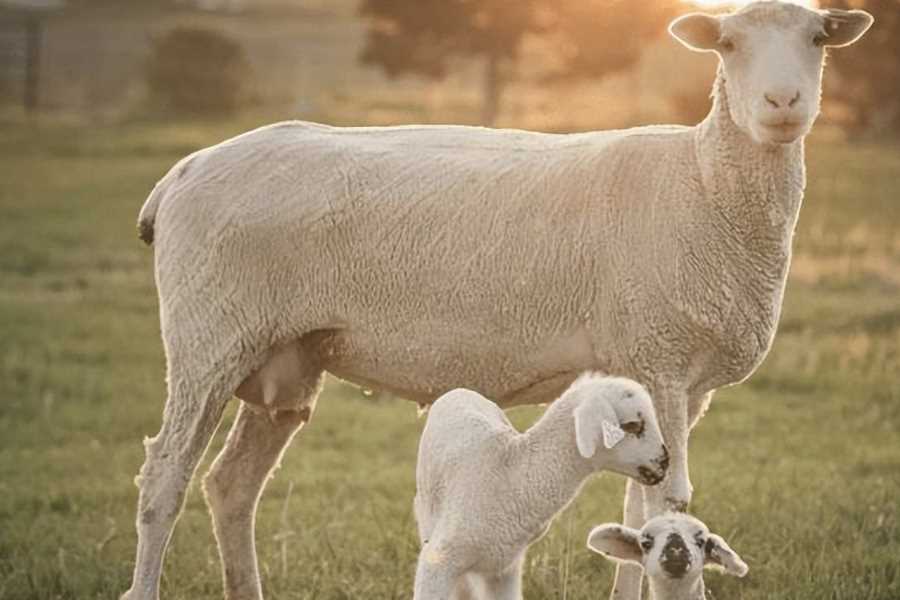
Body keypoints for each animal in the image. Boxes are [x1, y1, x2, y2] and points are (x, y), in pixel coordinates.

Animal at [414, 376, 668, 600]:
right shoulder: (437, 562)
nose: (665, 462)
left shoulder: (504, 570)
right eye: (633, 425)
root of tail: (460, 391)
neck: (509, 477)